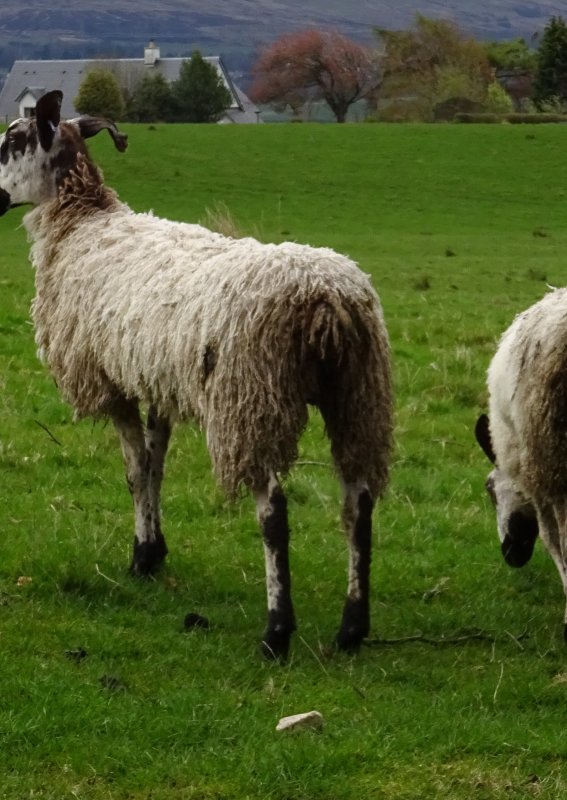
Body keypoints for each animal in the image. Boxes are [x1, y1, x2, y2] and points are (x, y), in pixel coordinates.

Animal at [0, 90, 393, 659]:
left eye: (11, 140)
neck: (81, 224)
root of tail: (326, 300)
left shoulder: (110, 381)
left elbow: (134, 469)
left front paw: (141, 554)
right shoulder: (156, 379)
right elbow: (156, 463)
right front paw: (154, 550)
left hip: (251, 399)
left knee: (274, 514)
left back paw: (277, 631)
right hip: (358, 394)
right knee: (358, 503)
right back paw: (351, 628)